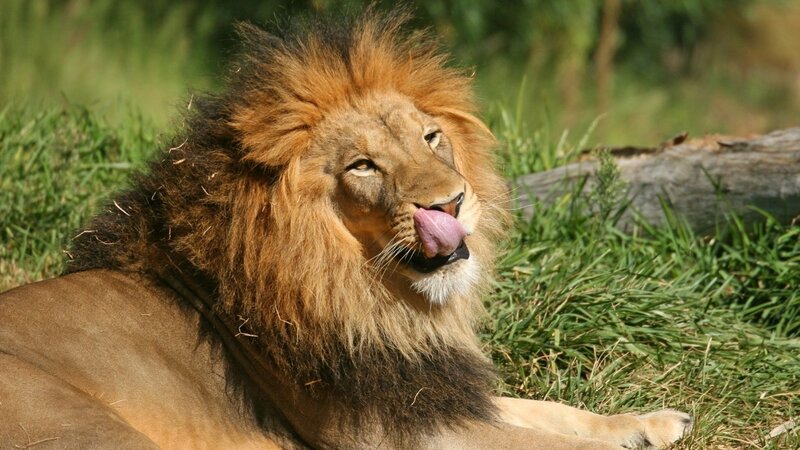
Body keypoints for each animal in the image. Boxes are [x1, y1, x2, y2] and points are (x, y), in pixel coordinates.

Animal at [0, 10, 693, 450]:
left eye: (431, 137)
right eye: (363, 165)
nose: (453, 203)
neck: (368, 295)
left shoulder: (428, 394)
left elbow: (552, 413)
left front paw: (652, 423)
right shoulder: (393, 434)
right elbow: (546, 443)